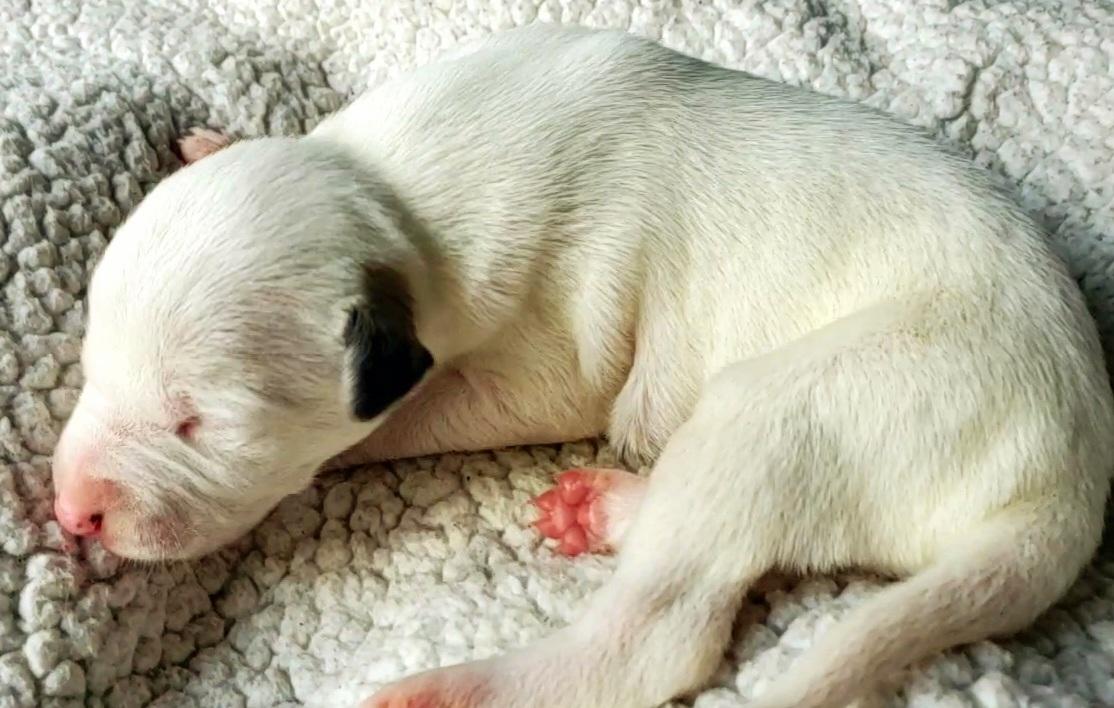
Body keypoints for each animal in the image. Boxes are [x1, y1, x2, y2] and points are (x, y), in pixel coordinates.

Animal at [51, 22, 1114, 708]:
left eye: (199, 423)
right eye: (92, 367)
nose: (71, 510)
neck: (387, 201)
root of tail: (1068, 486)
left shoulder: (546, 352)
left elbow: (417, 413)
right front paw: (217, 141)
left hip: (804, 399)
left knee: (658, 636)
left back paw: (457, 690)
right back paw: (607, 508)